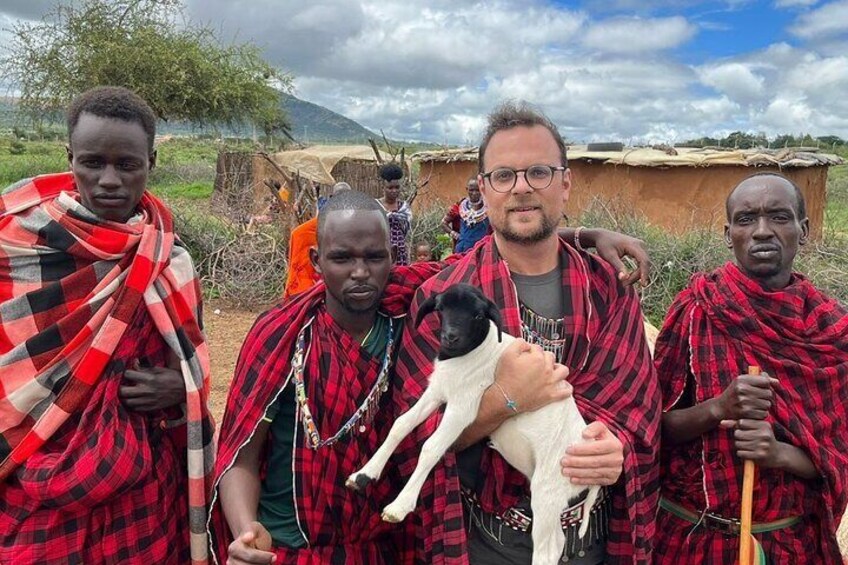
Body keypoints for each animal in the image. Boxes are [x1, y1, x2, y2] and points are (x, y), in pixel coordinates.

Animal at [348, 284, 600, 560]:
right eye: (441, 308)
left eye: (478, 315)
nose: (451, 337)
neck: (474, 354)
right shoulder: (437, 391)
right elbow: (400, 425)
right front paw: (363, 475)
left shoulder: (462, 409)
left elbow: (431, 447)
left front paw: (400, 506)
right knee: (557, 540)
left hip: (548, 487)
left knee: (548, 548)